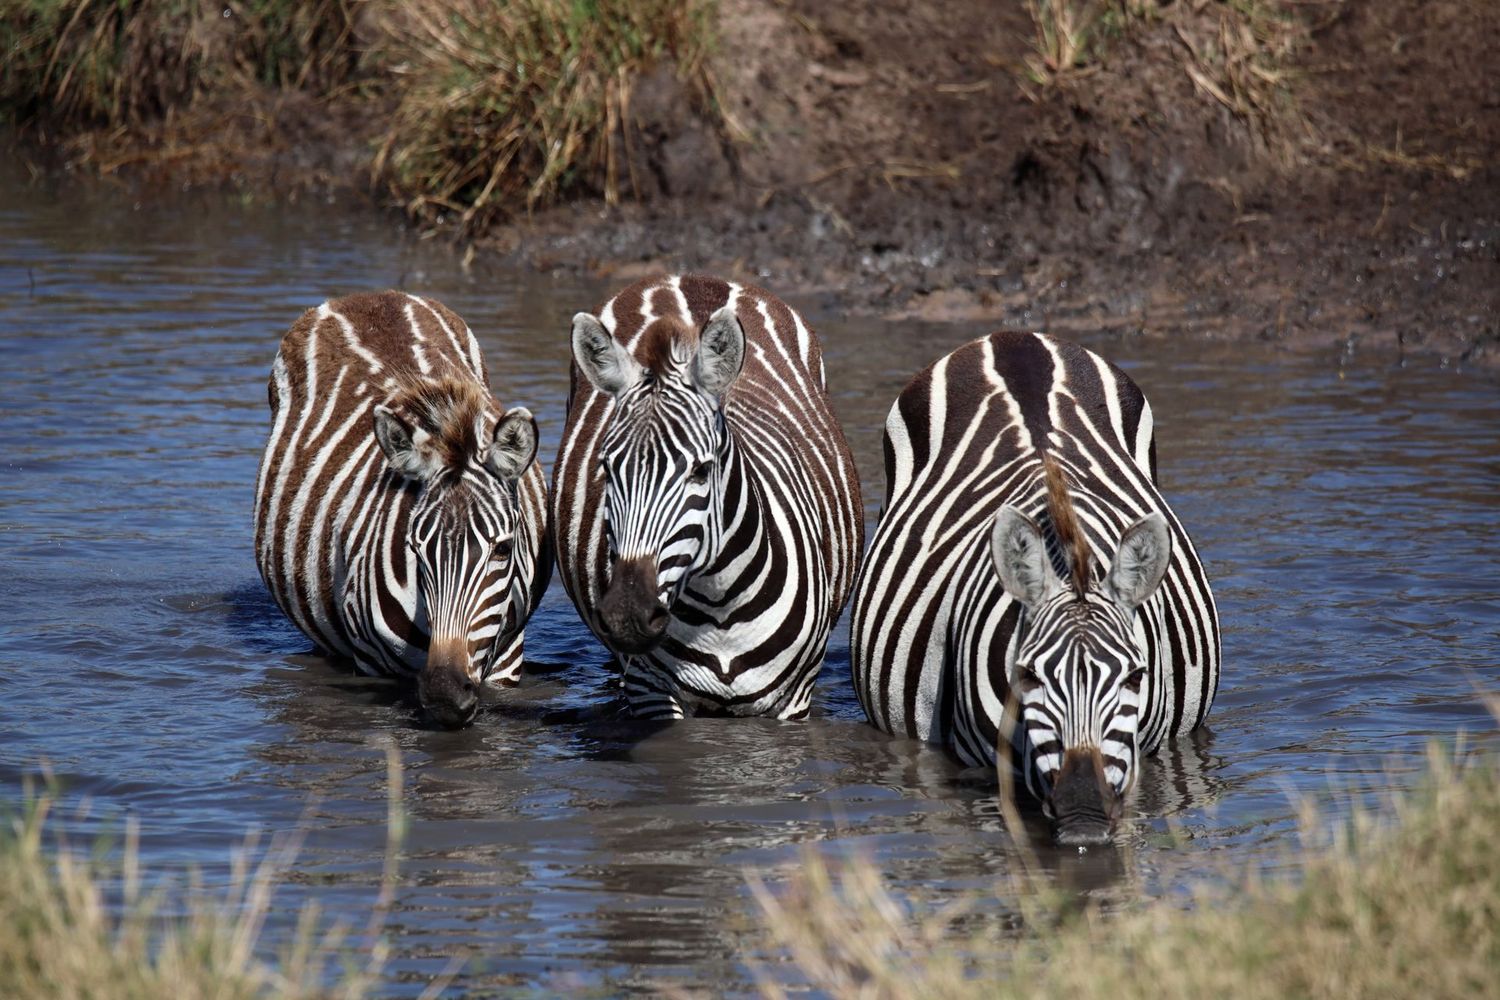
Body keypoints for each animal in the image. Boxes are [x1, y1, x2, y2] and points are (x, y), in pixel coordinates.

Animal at [255, 289, 555, 728]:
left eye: (503, 549)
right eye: (415, 549)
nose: (445, 693)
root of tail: (368, 295)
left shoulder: (507, 658)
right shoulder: (371, 665)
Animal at [552, 274, 864, 719]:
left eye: (700, 470)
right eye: (607, 469)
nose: (627, 615)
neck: (719, 608)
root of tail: (689, 278)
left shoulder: (794, 700)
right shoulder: (650, 690)